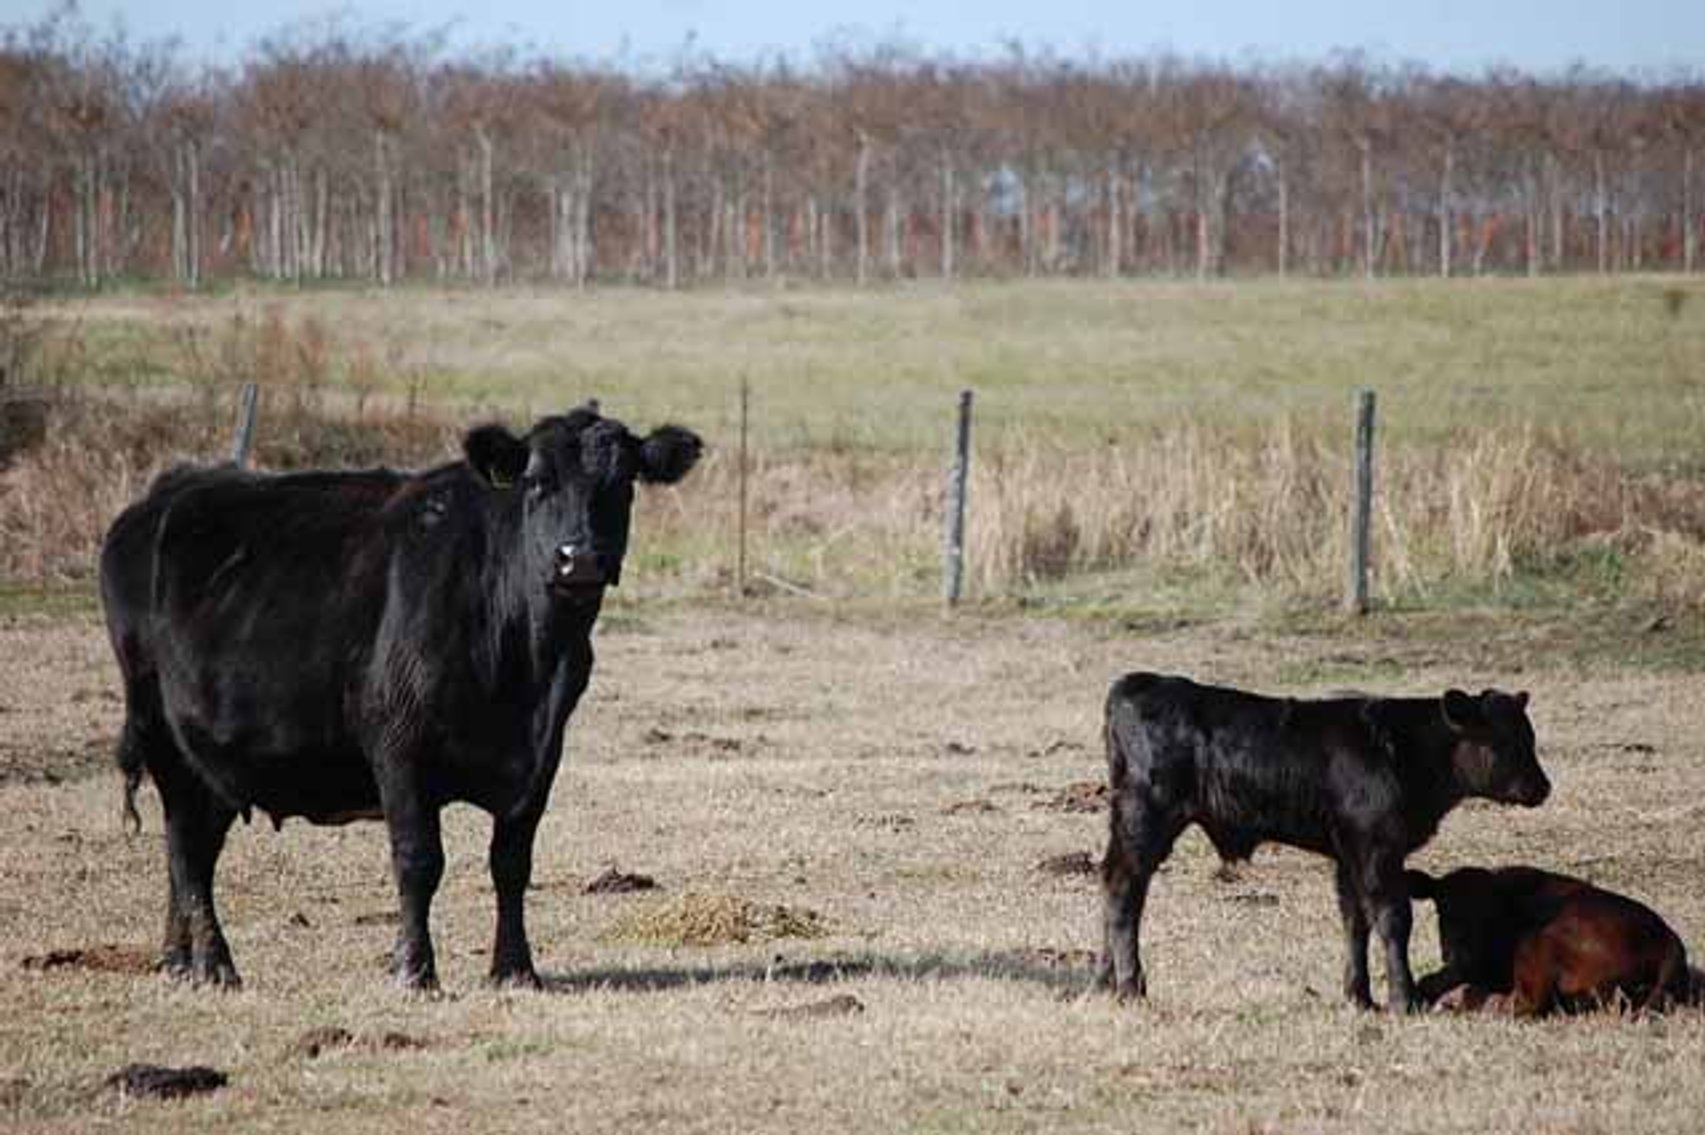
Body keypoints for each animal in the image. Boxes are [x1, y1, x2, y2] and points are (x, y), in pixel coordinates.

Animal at [99, 405, 701, 991]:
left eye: (622, 483)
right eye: (536, 482)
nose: (580, 560)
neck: (530, 666)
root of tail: (168, 491)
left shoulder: (541, 758)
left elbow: (511, 861)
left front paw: (515, 968)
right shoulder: (398, 746)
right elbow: (419, 859)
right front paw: (414, 969)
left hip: (216, 763)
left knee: (193, 849)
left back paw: (179, 961)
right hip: (162, 733)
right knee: (186, 850)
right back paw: (218, 964)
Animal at [1094, 673, 1552, 1012]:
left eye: (1529, 737)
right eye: (1504, 741)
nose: (1542, 787)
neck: (1403, 750)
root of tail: (1140, 683)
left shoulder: (1350, 855)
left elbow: (1355, 921)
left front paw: (1361, 997)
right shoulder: (1377, 847)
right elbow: (1393, 918)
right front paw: (1403, 1000)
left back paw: (1103, 984)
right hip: (1145, 818)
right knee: (1124, 889)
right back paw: (1132, 987)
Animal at [1406, 865, 1691, 1016]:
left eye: (1487, 913)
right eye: (1443, 910)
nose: (1456, 951)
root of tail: (1668, 939)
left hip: (1537, 941)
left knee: (1526, 1003)